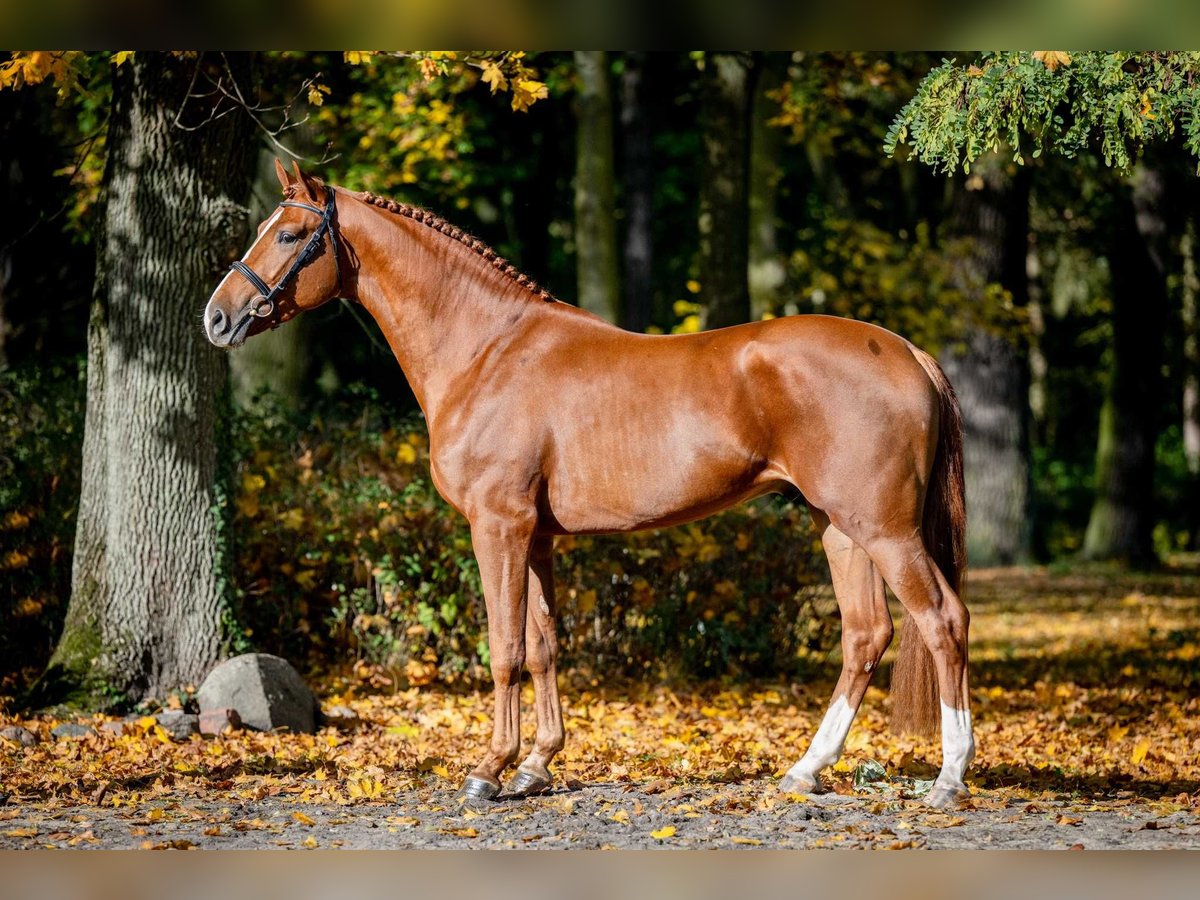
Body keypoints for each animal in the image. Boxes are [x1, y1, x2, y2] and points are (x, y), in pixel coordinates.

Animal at [206, 162, 969, 811]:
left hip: (886, 530)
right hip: (839, 526)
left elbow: (505, 649)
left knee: (942, 621)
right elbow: (544, 645)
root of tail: (909, 351)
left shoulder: (499, 526)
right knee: (866, 635)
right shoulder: (537, 536)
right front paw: (537, 766)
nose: (218, 316)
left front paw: (489, 771)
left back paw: (948, 779)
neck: (487, 350)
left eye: (290, 234)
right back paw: (806, 770)